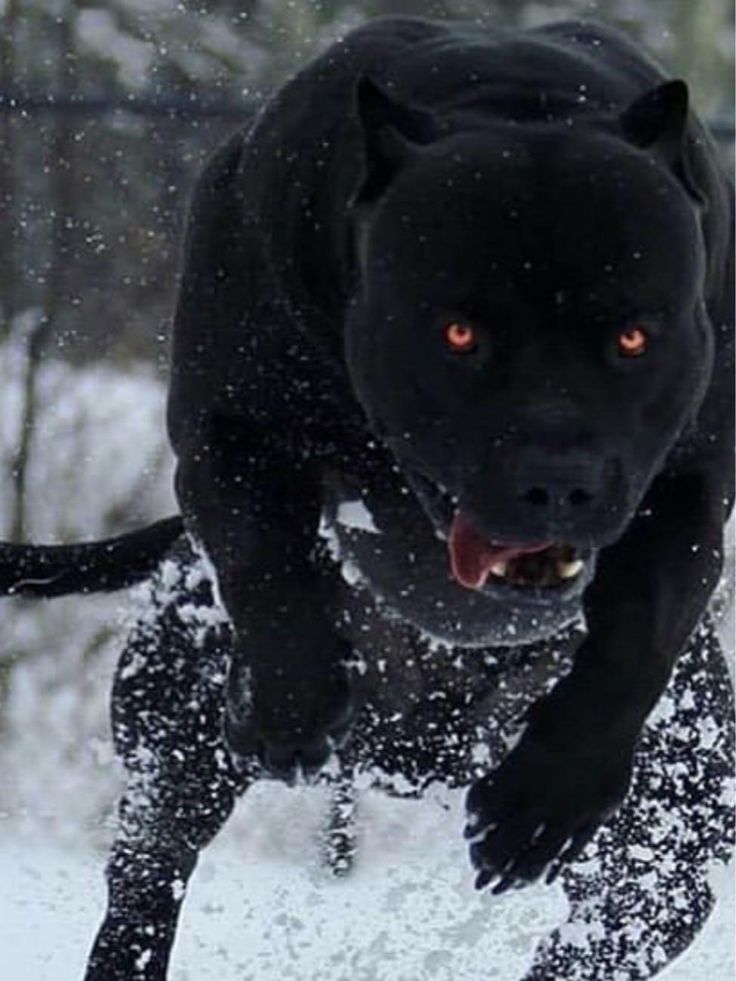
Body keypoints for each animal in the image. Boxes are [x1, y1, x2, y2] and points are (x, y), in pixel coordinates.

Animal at [1, 15, 732, 980]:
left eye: (634, 336)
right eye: (457, 332)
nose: (559, 481)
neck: (516, 104)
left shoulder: (691, 486)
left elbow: (643, 626)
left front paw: (555, 790)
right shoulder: (226, 435)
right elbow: (265, 563)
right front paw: (291, 701)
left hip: (666, 854)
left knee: (605, 929)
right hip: (172, 749)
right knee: (147, 881)